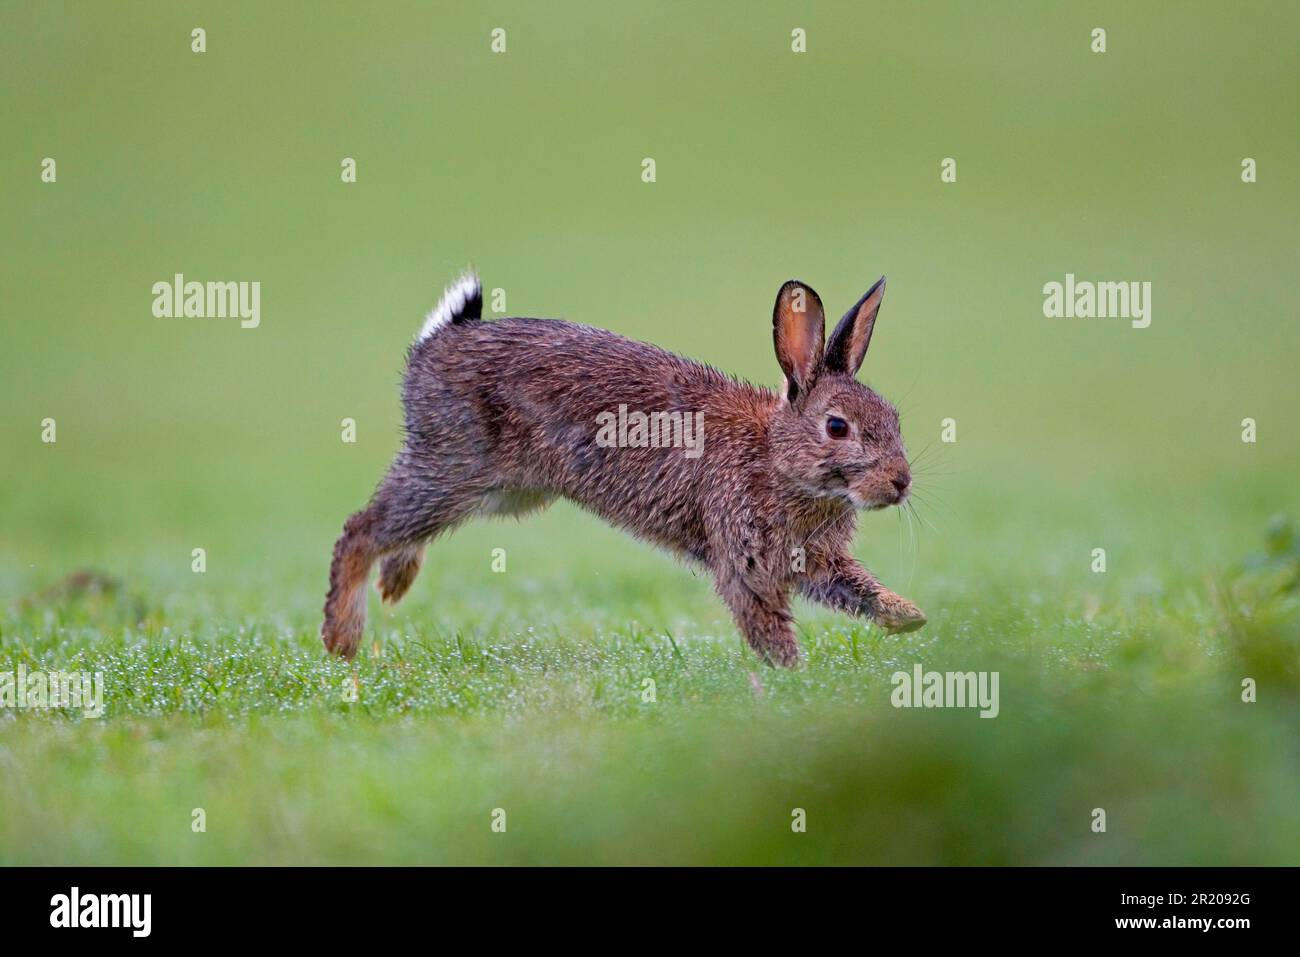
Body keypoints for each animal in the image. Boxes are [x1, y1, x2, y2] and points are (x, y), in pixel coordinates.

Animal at [322, 271, 927, 667]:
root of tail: (441, 339)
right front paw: (791, 675)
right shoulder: (744, 556)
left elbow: (854, 588)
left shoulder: (812, 559)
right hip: (455, 469)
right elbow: (765, 622)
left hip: (500, 490)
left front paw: (906, 616)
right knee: (360, 530)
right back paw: (342, 639)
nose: (900, 483)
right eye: (837, 427)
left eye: (895, 418)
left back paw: (394, 582)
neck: (776, 452)